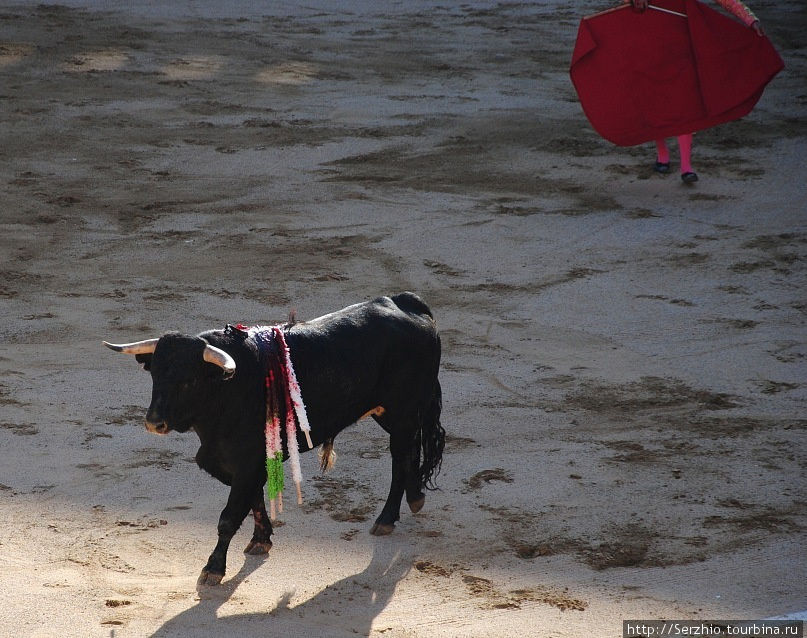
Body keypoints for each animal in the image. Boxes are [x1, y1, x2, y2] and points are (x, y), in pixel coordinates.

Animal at [104, 292, 446, 588]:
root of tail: (406, 301)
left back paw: (387, 518)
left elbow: (229, 517)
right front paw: (261, 539)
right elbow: (254, 500)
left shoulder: (247, 462)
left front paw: (213, 568)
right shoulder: (241, 463)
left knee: (401, 455)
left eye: (188, 380)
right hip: (392, 414)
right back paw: (414, 498)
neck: (227, 388)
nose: (154, 423)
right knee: (409, 450)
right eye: (155, 375)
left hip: (403, 410)